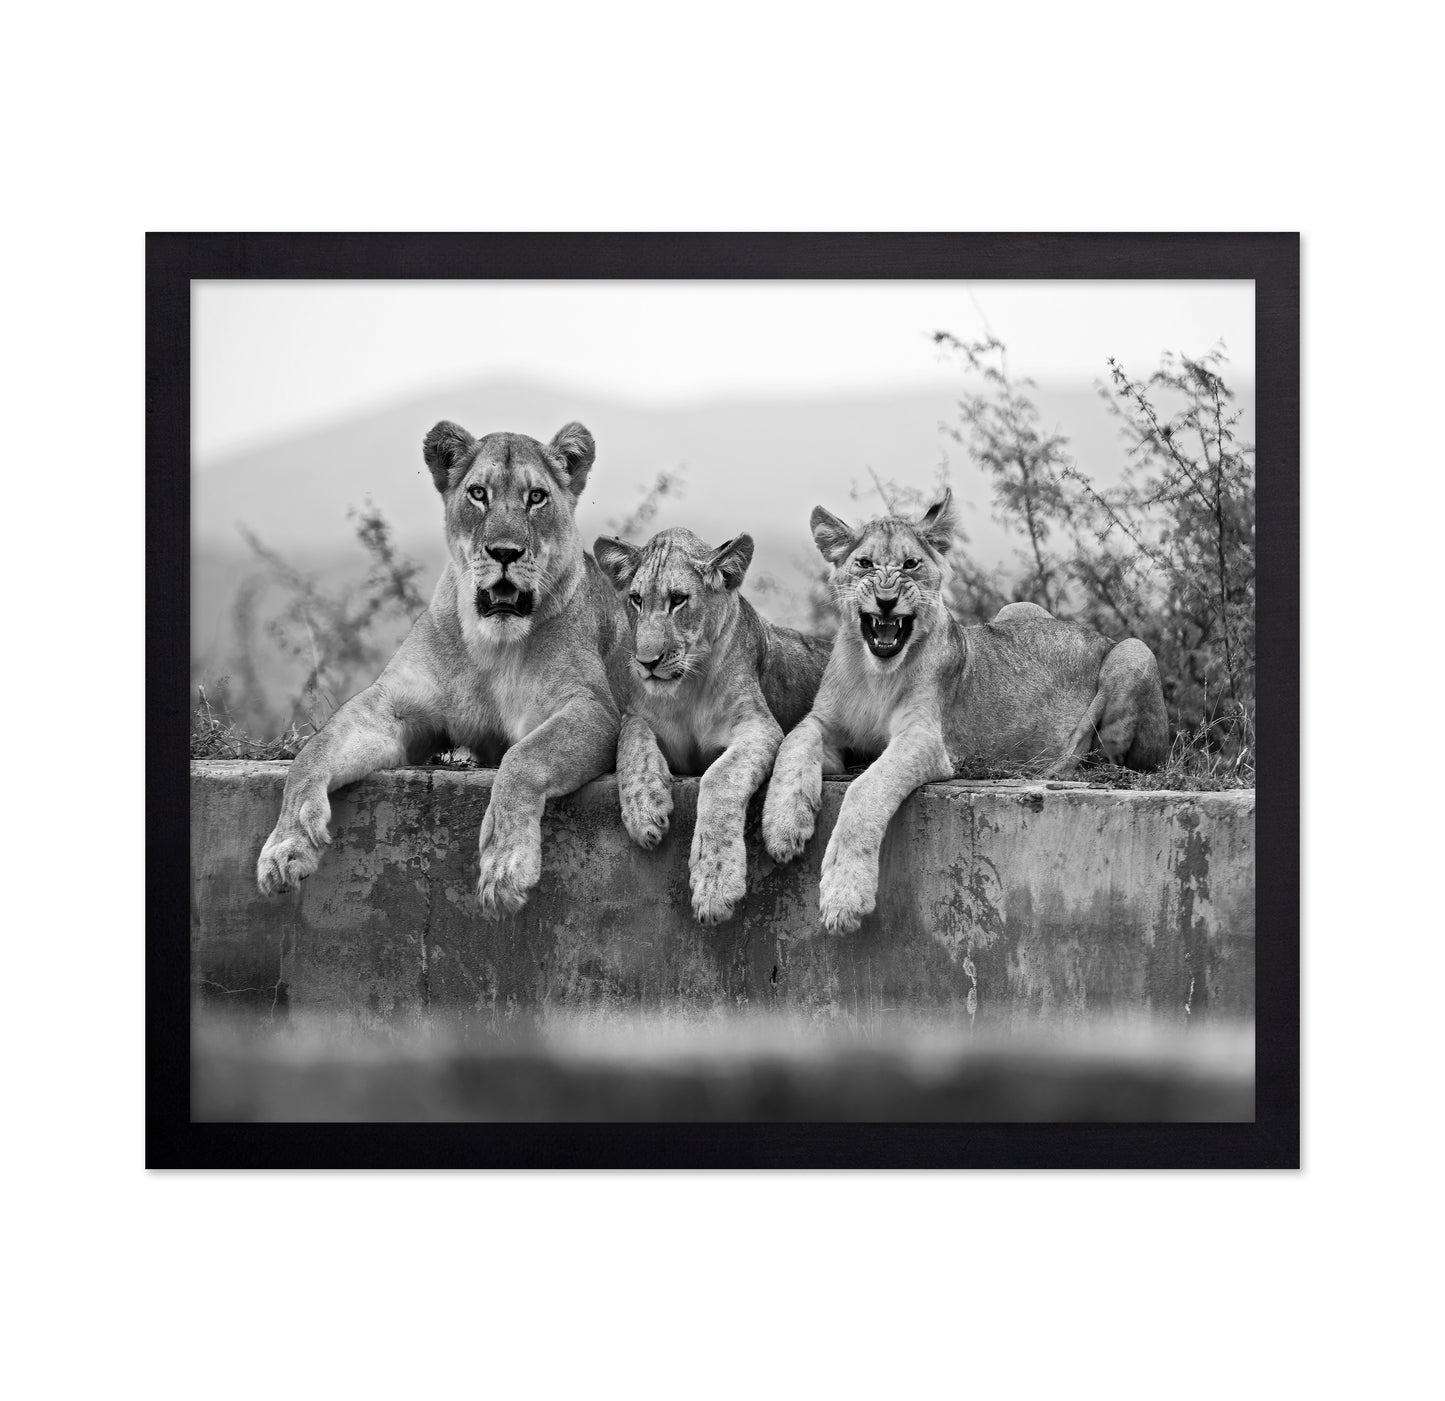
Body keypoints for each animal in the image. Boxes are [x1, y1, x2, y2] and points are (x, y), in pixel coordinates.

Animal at [257, 420, 629, 917]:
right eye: (478, 494)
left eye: (536, 497)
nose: (505, 552)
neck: (492, 646)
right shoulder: (392, 704)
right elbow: (312, 752)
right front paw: (287, 844)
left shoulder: (592, 708)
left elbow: (522, 758)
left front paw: (505, 863)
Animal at [593, 527, 831, 925]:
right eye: (637, 600)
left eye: (678, 600)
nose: (646, 662)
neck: (686, 688)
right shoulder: (641, 716)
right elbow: (631, 737)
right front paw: (644, 808)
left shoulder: (759, 726)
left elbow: (719, 777)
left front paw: (715, 884)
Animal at [762, 490, 1169, 934]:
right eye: (865, 564)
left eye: (910, 564)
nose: (886, 602)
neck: (875, 674)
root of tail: (1098, 634)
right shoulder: (825, 724)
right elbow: (793, 743)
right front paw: (783, 827)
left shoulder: (926, 739)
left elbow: (865, 788)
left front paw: (844, 897)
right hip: (1018, 608)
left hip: (1134, 652)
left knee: (1113, 762)